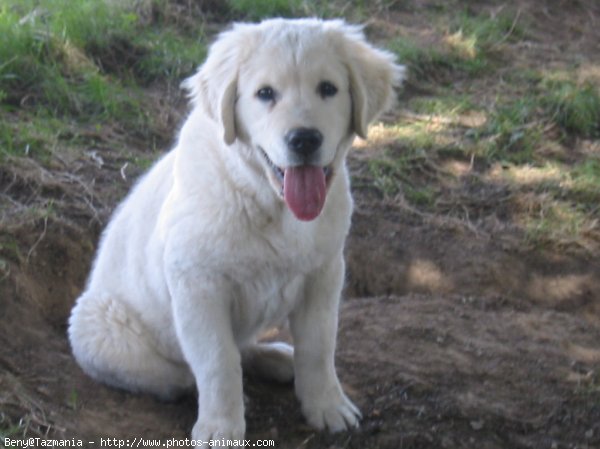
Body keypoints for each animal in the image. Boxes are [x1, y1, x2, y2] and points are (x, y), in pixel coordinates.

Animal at [69, 18, 404, 440]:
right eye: (265, 93)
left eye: (328, 88)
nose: (304, 139)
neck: (268, 200)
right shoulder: (198, 285)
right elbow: (218, 361)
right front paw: (220, 428)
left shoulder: (325, 272)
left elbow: (319, 345)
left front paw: (327, 405)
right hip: (96, 325)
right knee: (178, 375)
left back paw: (277, 358)